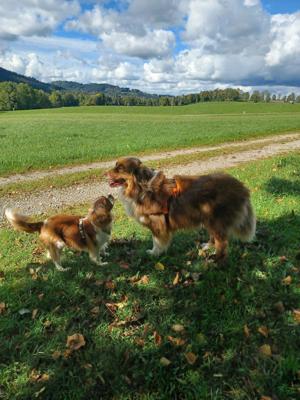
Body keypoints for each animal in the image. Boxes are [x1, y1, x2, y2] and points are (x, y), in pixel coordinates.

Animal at [106, 158, 254, 260]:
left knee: (222, 243)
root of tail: (242, 187)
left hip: (215, 220)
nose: (104, 173)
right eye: (115, 165)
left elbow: (156, 241)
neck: (141, 188)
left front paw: (155, 253)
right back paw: (207, 247)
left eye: (120, 168)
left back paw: (216, 260)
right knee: (215, 238)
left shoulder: (157, 222)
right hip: (209, 219)